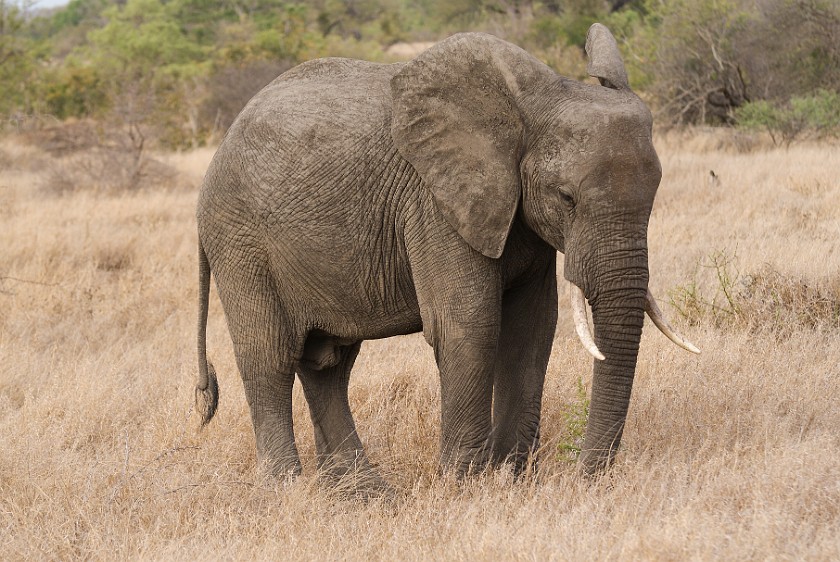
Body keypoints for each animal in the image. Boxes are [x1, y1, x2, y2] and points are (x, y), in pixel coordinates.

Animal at [194, 23, 700, 486]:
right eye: (566, 197)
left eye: (655, 192)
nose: (584, 477)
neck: (526, 108)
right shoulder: (434, 204)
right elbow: (470, 323)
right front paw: (466, 485)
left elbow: (532, 327)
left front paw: (511, 478)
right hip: (239, 239)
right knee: (270, 357)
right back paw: (288, 490)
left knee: (328, 364)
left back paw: (364, 495)